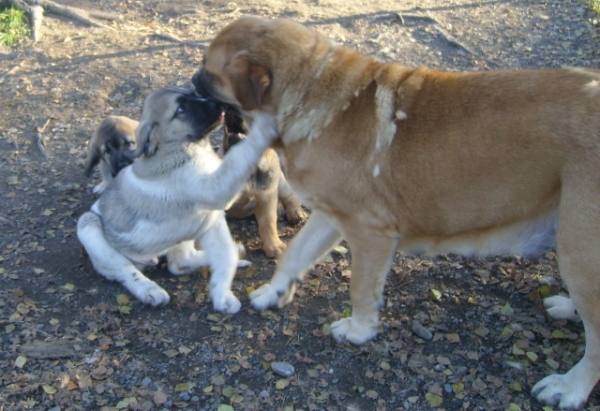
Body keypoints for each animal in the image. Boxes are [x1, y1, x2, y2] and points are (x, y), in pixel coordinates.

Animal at [219, 108, 304, 260]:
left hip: (279, 181)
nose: (232, 111)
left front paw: (274, 245)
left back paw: (295, 212)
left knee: (290, 196)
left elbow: (268, 222)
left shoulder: (267, 195)